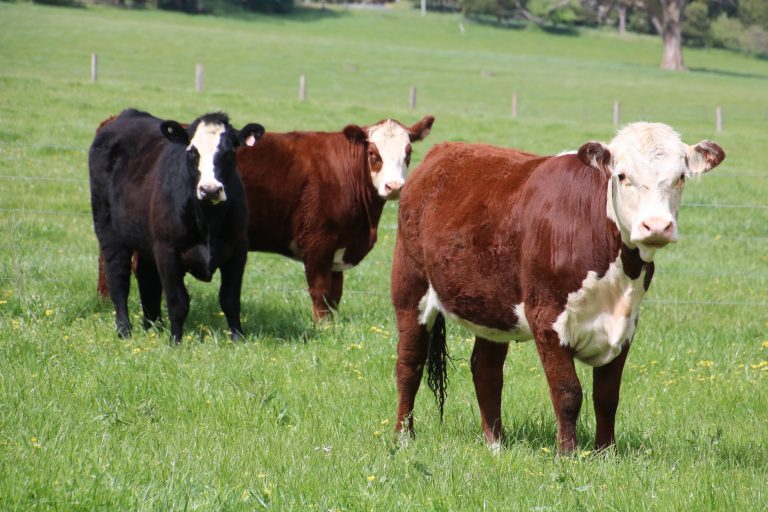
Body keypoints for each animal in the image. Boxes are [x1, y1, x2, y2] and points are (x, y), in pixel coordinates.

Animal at [89, 108, 265, 342]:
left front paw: (238, 339)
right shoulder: (167, 250)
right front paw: (176, 341)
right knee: (118, 279)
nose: (210, 189)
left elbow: (230, 300)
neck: (208, 219)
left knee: (147, 280)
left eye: (228, 152)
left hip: (145, 240)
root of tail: (128, 114)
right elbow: (178, 302)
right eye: (193, 152)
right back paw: (124, 330)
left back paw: (153, 327)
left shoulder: (238, 249)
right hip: (109, 232)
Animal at [236, 116, 434, 320]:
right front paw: (322, 323)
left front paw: (333, 323)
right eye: (372, 153)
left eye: (408, 152)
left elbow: (335, 294)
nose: (394, 186)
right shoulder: (317, 242)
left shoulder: (338, 249)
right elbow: (320, 290)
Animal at [391, 122, 725, 452]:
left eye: (680, 177)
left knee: (486, 369)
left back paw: (496, 444)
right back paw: (404, 437)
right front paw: (567, 453)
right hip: (410, 289)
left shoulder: (626, 323)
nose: (656, 226)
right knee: (409, 364)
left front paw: (606, 452)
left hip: (493, 306)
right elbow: (568, 392)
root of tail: (444, 150)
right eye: (622, 175)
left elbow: (607, 395)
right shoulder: (547, 317)